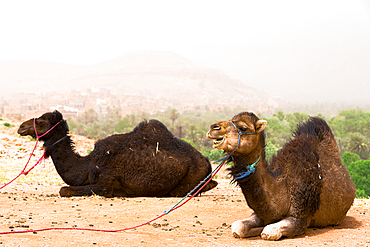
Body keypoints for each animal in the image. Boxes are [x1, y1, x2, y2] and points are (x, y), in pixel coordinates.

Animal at [18, 110, 217, 197]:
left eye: (41, 121)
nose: (21, 126)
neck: (87, 164)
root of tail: (208, 162)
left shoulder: (105, 185)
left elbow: (64, 189)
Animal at [208, 112, 356, 241]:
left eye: (243, 127)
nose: (213, 127)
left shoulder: (301, 216)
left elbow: (269, 231)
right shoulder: (261, 213)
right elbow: (238, 227)